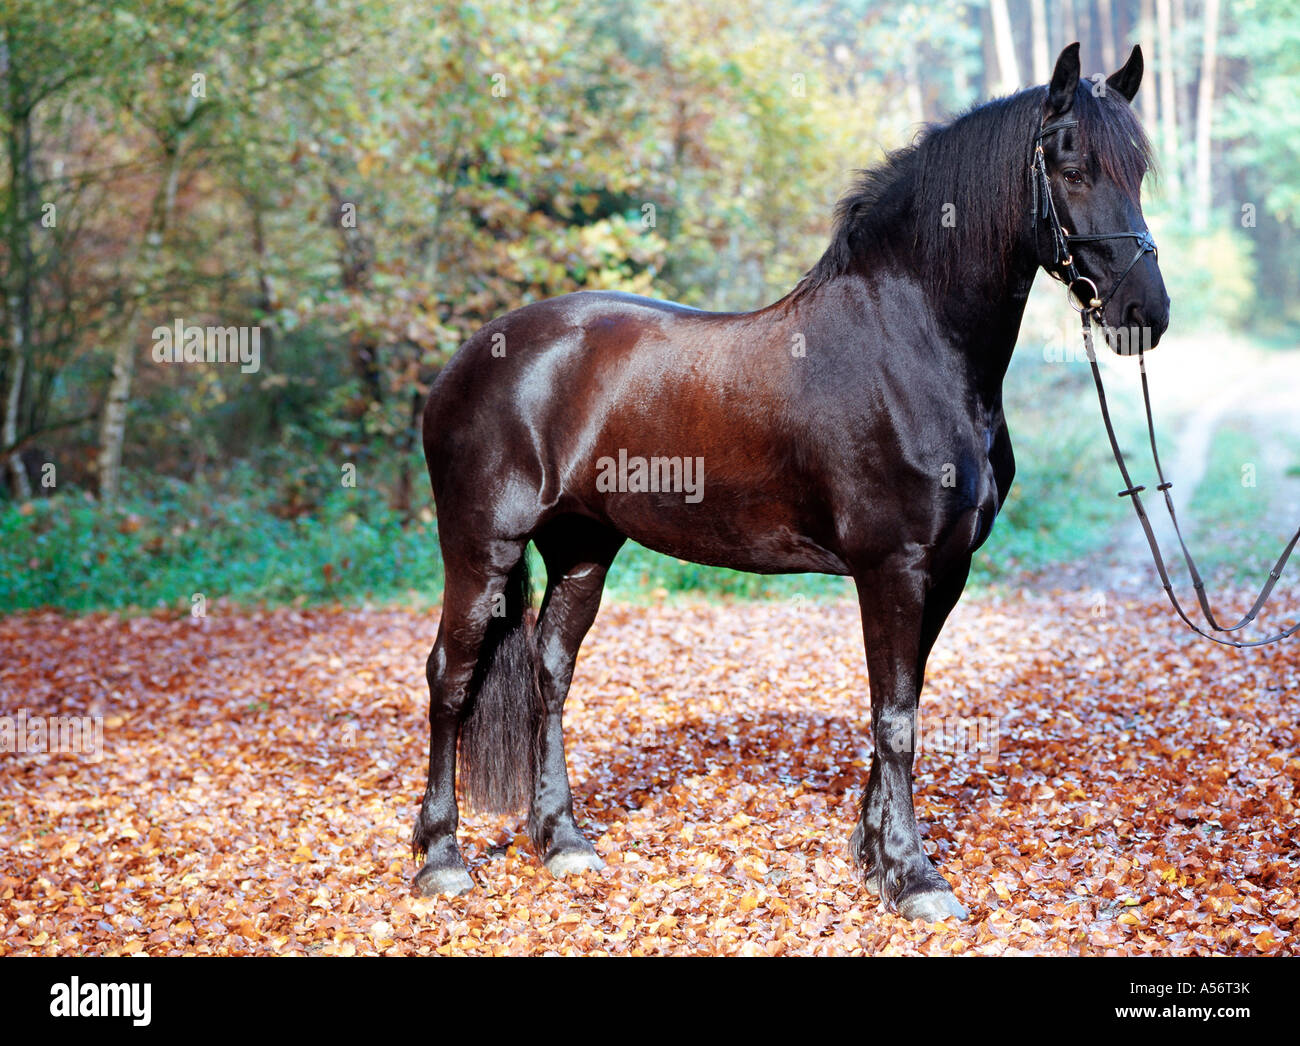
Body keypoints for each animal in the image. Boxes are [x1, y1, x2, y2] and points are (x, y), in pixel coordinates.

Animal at [410, 42, 1169, 922]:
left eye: (1139, 168)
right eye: (1071, 164)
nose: (1144, 313)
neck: (909, 344)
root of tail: (468, 359)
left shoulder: (944, 571)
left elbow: (901, 707)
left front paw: (874, 858)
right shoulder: (893, 567)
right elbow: (897, 718)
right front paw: (915, 877)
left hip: (582, 550)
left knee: (548, 675)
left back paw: (562, 841)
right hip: (481, 549)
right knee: (450, 678)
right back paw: (441, 858)